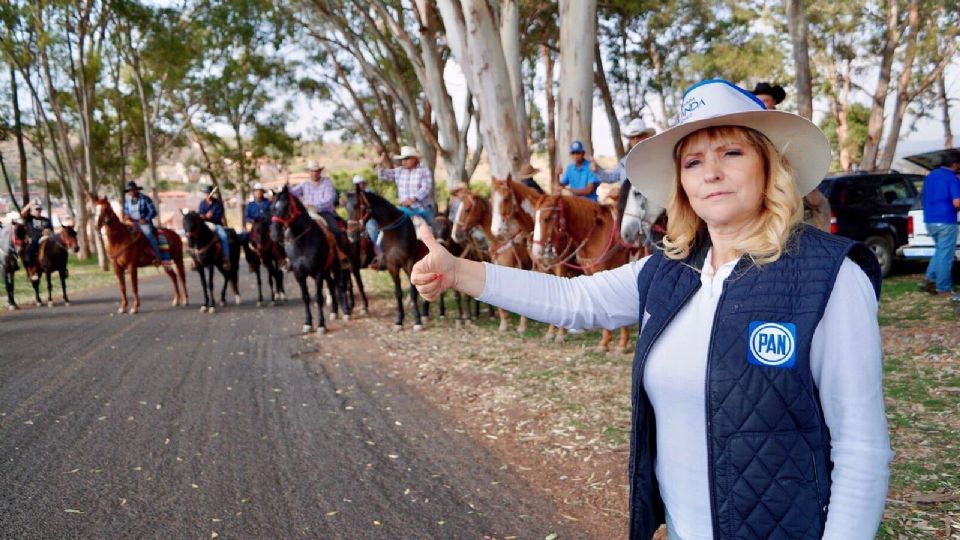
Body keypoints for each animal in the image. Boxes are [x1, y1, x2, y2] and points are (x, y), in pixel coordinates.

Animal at [270, 186, 348, 334]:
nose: (274, 234)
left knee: (339, 285)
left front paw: (321, 325)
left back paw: (346, 313)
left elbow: (318, 298)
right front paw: (307, 324)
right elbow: (305, 297)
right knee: (331, 284)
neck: (303, 241)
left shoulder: (317, 272)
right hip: (326, 270)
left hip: (335, 266)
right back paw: (334, 312)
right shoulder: (299, 274)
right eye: (271, 207)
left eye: (286, 206)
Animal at [342, 190, 424, 334]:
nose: (350, 235)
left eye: (359, 206)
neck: (395, 233)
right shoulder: (392, 266)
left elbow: (413, 292)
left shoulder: (410, 264)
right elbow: (398, 293)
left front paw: (418, 321)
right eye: (346, 207)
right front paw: (399, 321)